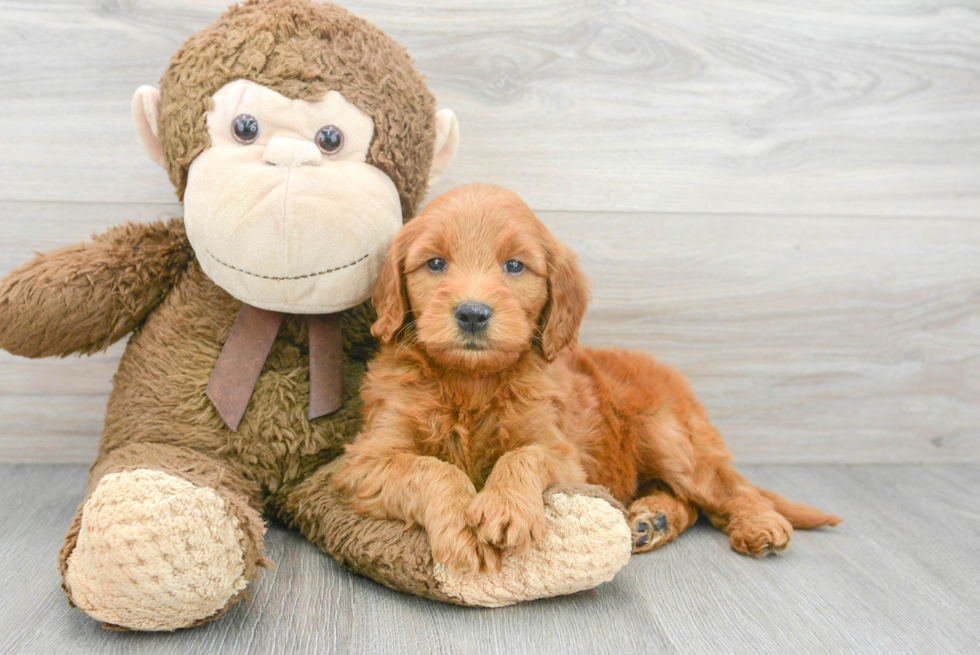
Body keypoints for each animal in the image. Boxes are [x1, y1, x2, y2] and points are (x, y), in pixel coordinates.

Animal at [334, 182, 840, 572]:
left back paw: (759, 524)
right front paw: (462, 522)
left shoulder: (564, 455)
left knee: (723, 488)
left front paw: (503, 506)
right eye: (435, 263)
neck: (471, 381)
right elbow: (432, 468)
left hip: (669, 437)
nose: (473, 314)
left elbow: (522, 455)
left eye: (514, 266)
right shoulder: (365, 461)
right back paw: (653, 519)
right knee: (689, 501)